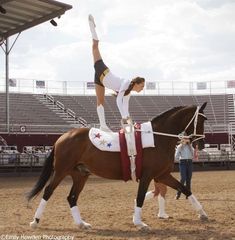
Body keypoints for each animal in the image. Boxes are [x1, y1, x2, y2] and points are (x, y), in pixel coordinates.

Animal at [28, 102, 209, 230]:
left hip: (80, 175)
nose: (201, 143)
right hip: (61, 171)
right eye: (201, 120)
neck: (157, 138)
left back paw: (81, 224)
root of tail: (63, 137)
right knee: (48, 192)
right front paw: (139, 223)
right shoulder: (148, 176)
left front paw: (202, 214)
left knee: (71, 197)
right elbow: (141, 197)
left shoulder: (162, 175)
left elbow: (186, 190)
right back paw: (35, 221)